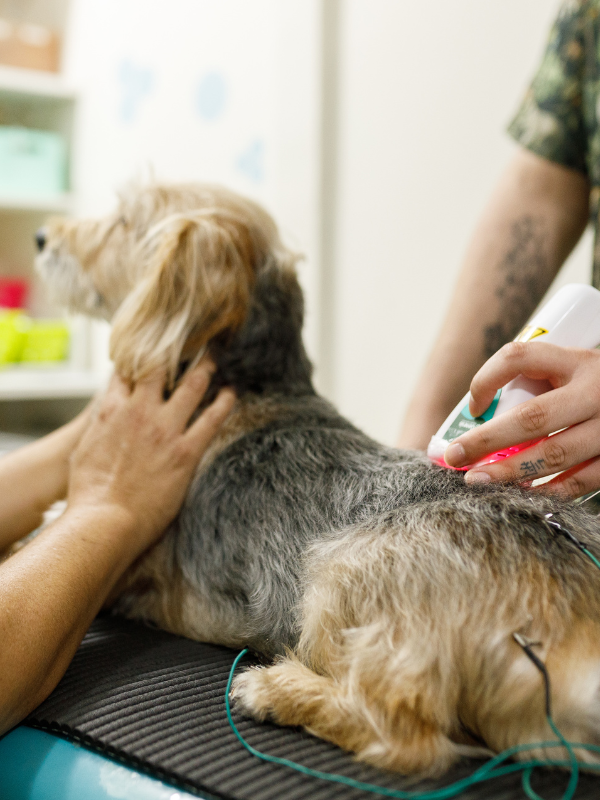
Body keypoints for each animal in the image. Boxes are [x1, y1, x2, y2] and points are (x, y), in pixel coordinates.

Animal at [35, 184, 600, 780]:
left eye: (123, 219)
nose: (41, 236)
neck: (256, 385)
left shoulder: (130, 569)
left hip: (344, 570)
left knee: (406, 738)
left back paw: (275, 690)